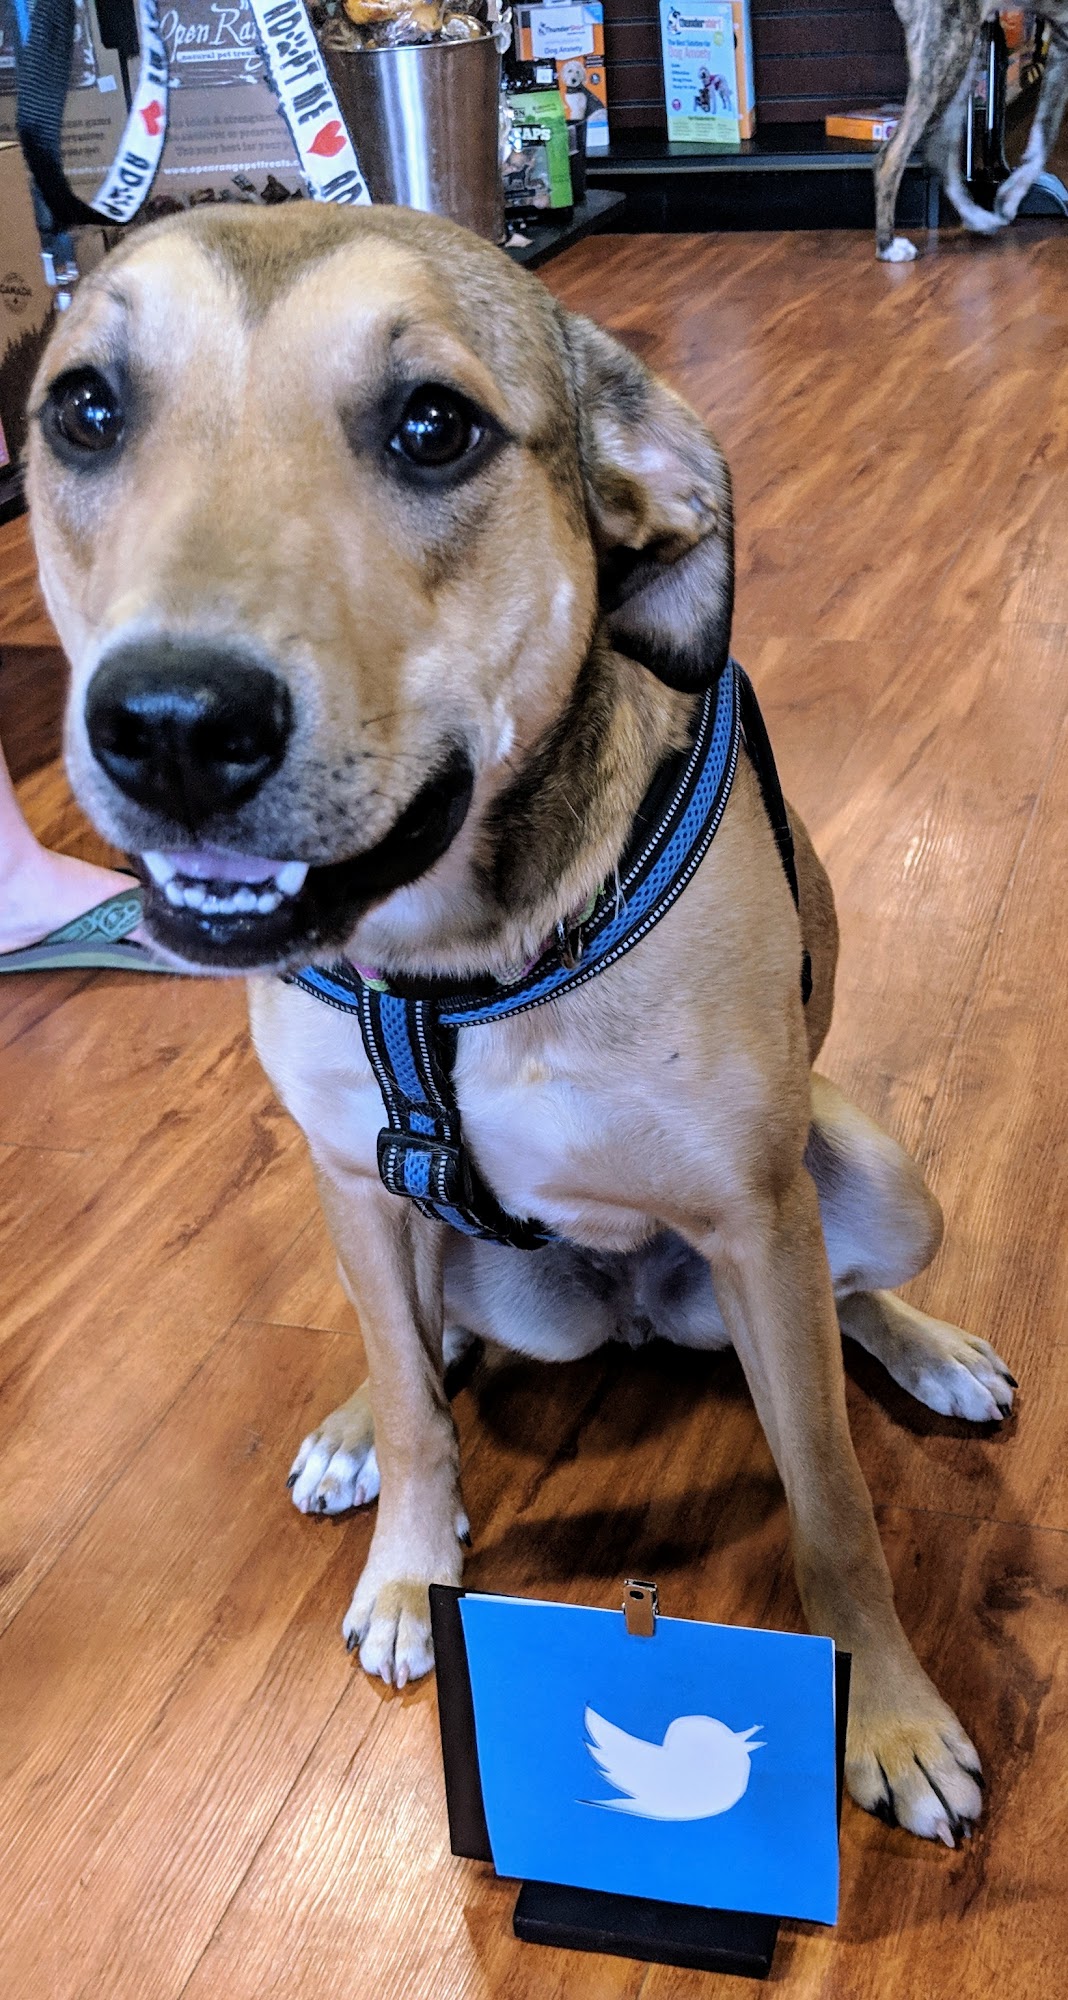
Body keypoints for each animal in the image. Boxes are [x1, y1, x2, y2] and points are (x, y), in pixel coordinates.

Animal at [26, 203, 1016, 1844]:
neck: (447, 966)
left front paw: (888, 1710)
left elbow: (831, 1499)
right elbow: (423, 1409)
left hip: (867, 1175)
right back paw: (355, 1423)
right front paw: (412, 1567)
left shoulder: (756, 1216)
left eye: (436, 427)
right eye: (82, 412)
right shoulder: (353, 1175)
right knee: (426, 1345)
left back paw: (927, 1348)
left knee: (851, 1293)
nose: (168, 726)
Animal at [876, 1, 1068, 259]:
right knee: (892, 154)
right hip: (947, 55)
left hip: (966, 56)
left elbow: (1044, 135)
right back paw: (888, 246)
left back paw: (978, 218)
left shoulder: (1061, 45)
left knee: (939, 149)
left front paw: (1009, 195)